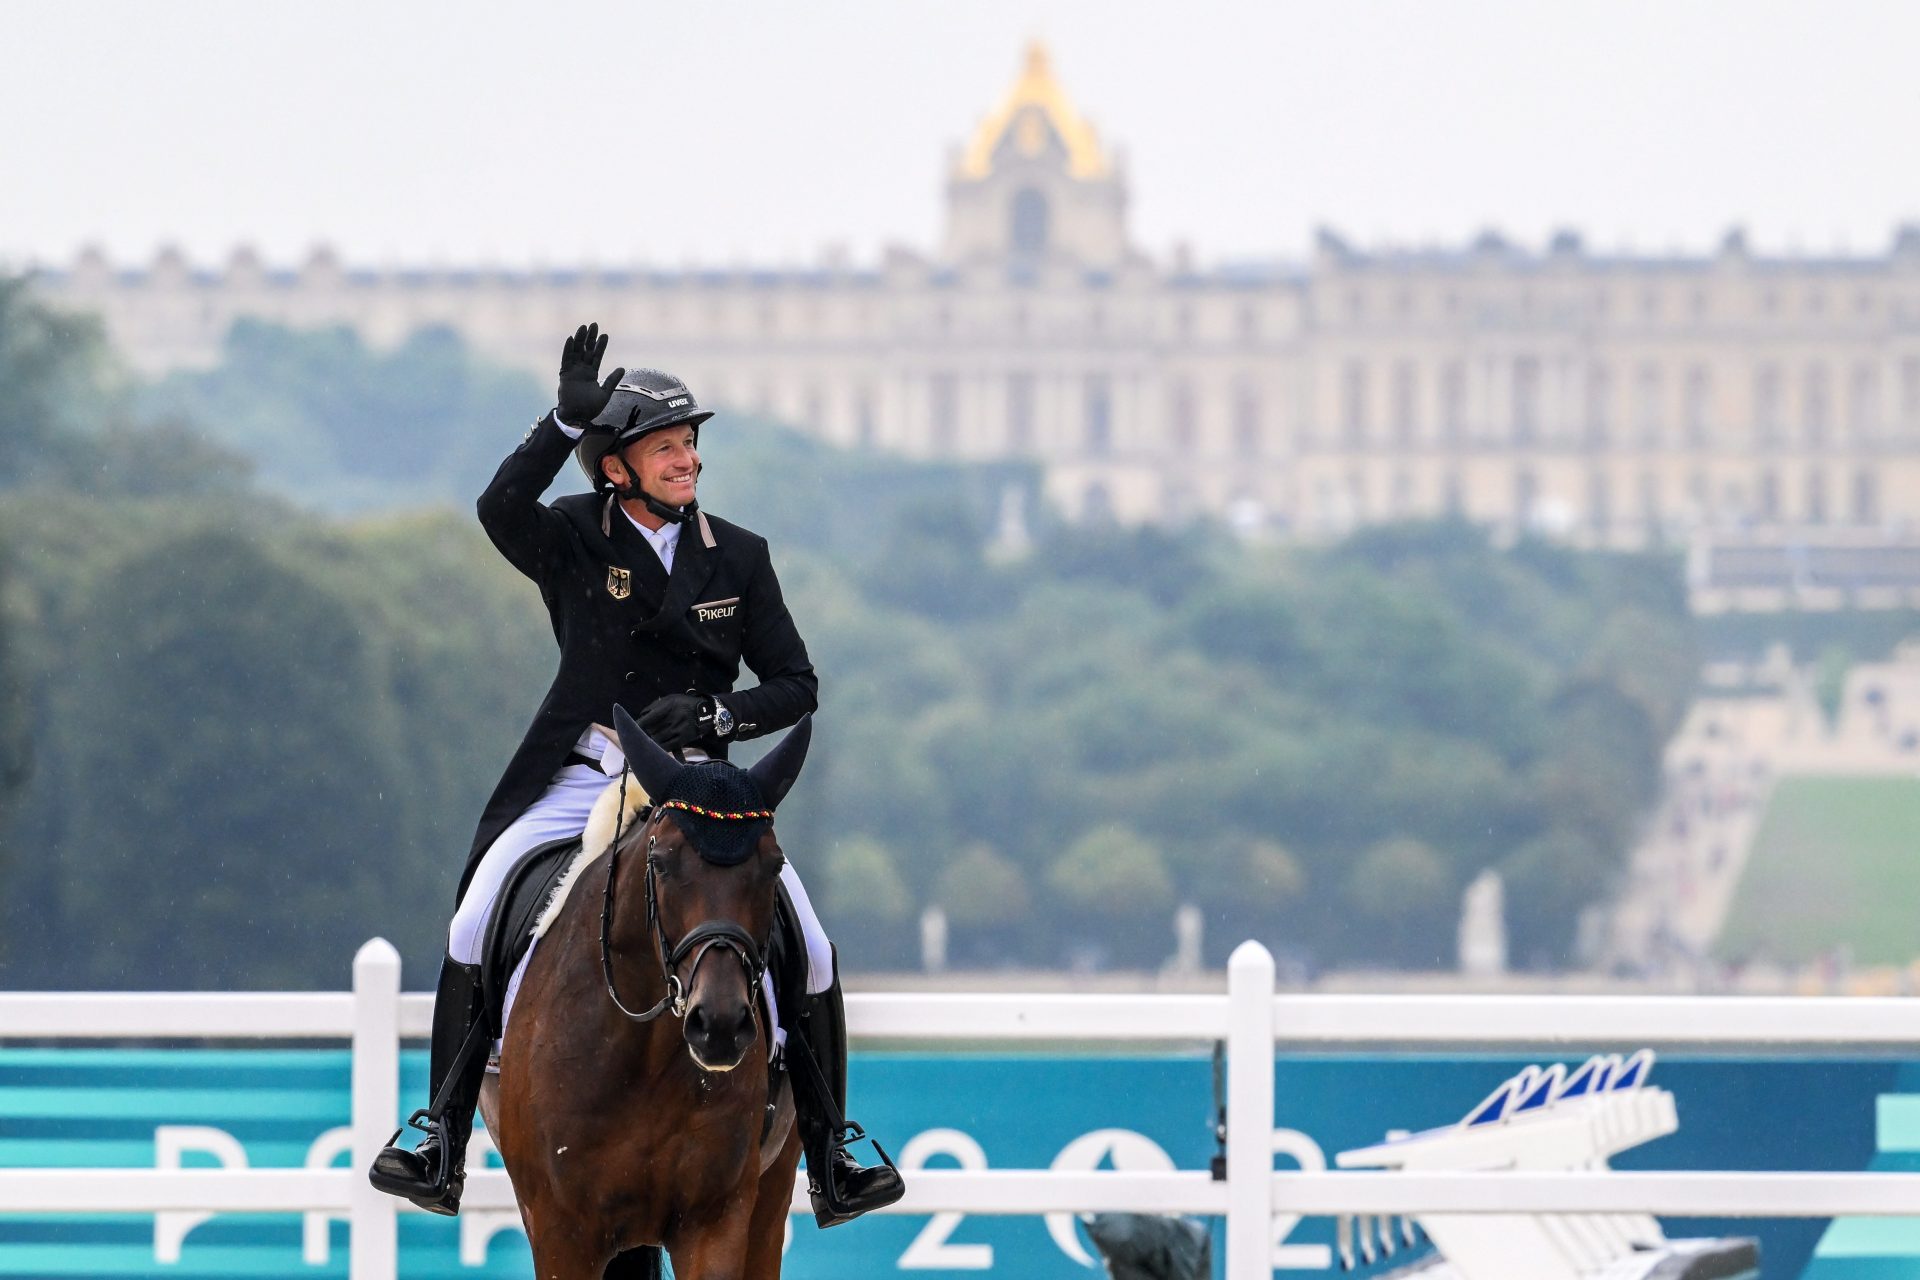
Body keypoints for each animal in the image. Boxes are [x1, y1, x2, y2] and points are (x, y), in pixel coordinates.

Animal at [483, 706, 814, 1280]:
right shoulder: (561, 1229)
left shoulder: (716, 1219)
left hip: (772, 1195)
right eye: (662, 862)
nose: (720, 1024)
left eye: (774, 864)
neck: (642, 1051)